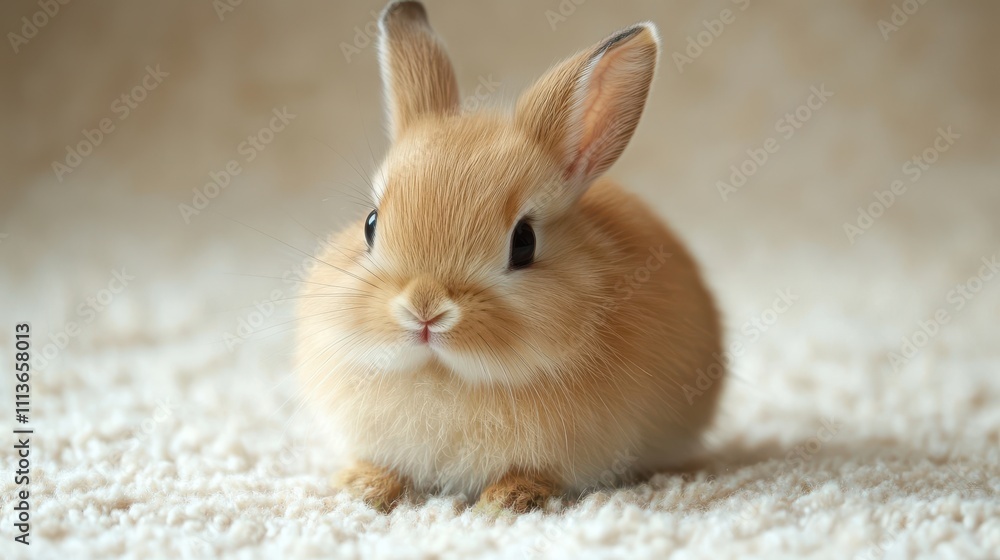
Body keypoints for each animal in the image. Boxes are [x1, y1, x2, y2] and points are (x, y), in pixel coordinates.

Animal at [295, 0, 724, 513]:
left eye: (524, 242)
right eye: (370, 225)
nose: (424, 310)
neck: (443, 374)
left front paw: (507, 499)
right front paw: (363, 485)